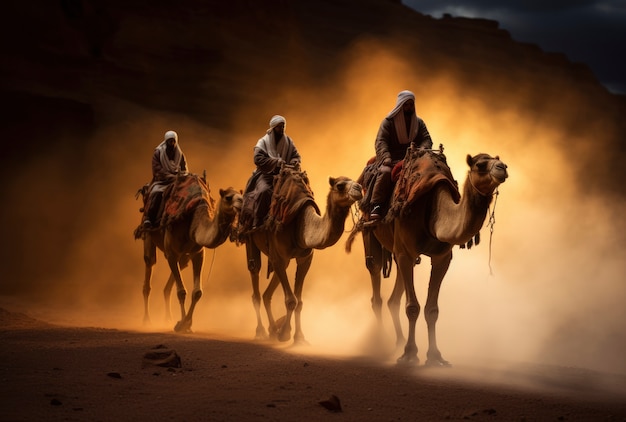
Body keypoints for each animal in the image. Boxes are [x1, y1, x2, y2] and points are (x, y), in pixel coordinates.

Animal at [134, 174, 241, 332]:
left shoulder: (198, 253)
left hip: (183, 256)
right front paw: (182, 324)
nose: (241, 202)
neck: (194, 219)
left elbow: (197, 292)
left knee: (173, 278)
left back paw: (168, 318)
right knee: (149, 265)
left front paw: (186, 324)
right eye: (228, 197)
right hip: (148, 236)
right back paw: (147, 320)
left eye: (242, 195)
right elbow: (181, 292)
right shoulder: (171, 252)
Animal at [241, 165, 364, 342]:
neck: (301, 224)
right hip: (250, 239)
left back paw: (273, 330)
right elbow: (291, 300)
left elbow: (299, 301)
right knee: (255, 276)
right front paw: (285, 334)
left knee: (267, 293)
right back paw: (261, 331)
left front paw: (299, 337)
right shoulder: (278, 255)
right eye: (340, 185)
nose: (359, 188)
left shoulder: (305, 258)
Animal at [346, 144, 508, 362]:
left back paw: (398, 341)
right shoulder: (405, 250)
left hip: (398, 251)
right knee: (375, 279)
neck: (433, 207)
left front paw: (434, 355)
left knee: (393, 297)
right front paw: (410, 354)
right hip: (369, 230)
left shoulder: (442, 258)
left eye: (498, 161)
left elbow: (432, 309)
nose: (502, 168)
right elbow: (412, 307)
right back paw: (382, 343)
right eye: (481, 164)